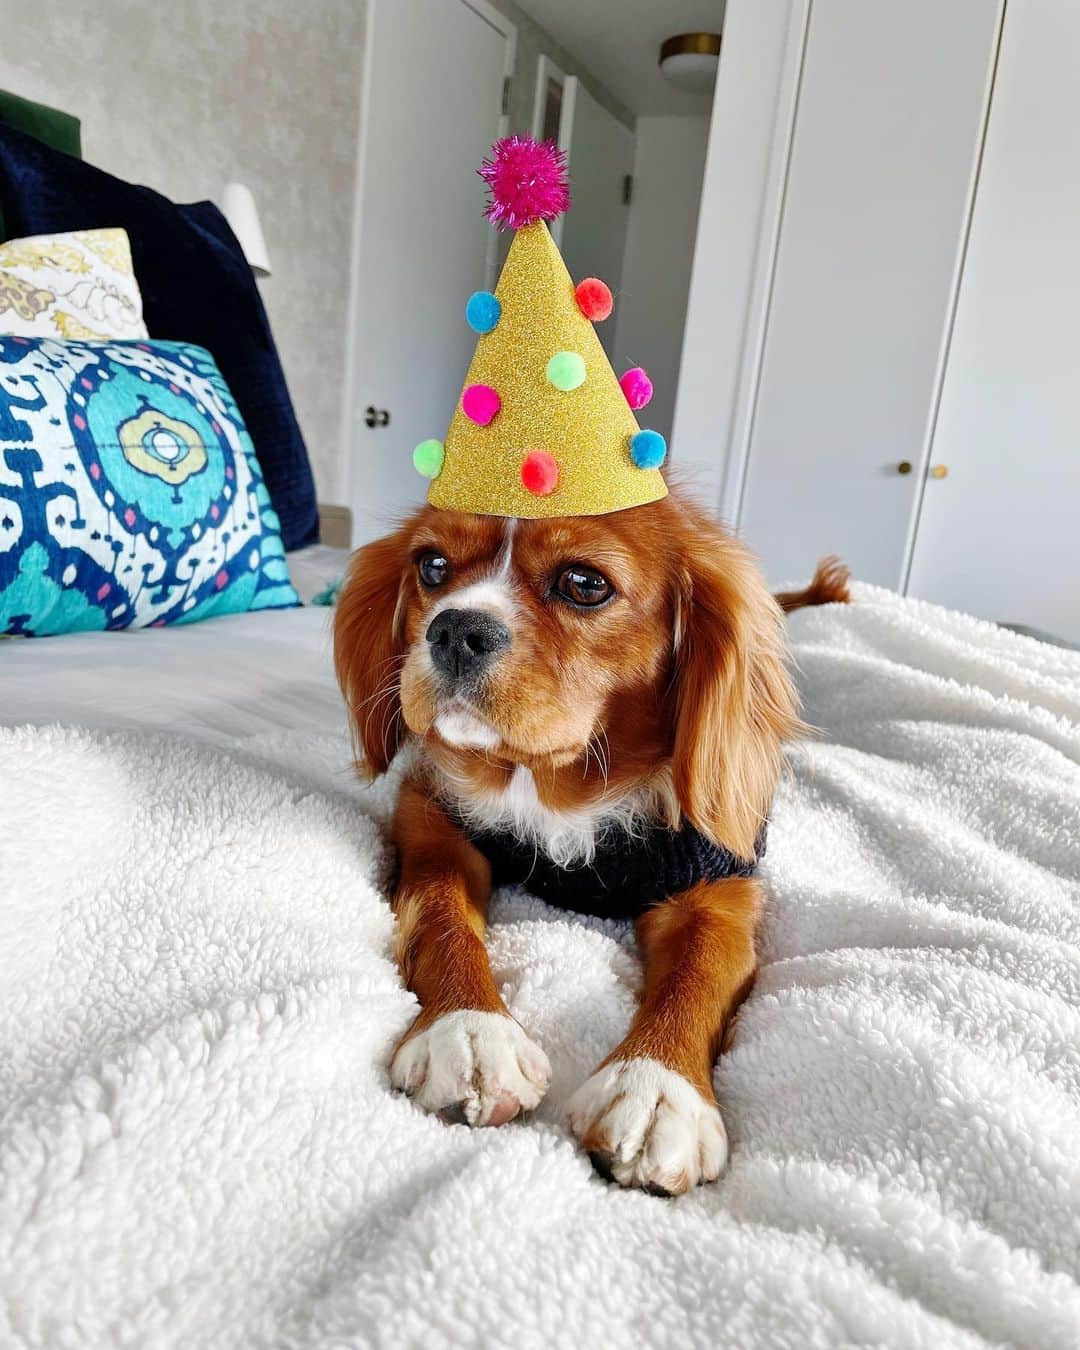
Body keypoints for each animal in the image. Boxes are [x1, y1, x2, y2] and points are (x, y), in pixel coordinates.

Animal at [333, 491, 847, 1198]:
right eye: (432, 566)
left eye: (584, 584)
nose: (454, 629)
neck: (552, 788)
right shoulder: (433, 816)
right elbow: (440, 916)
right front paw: (467, 1029)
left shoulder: (717, 886)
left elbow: (698, 970)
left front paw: (658, 1087)